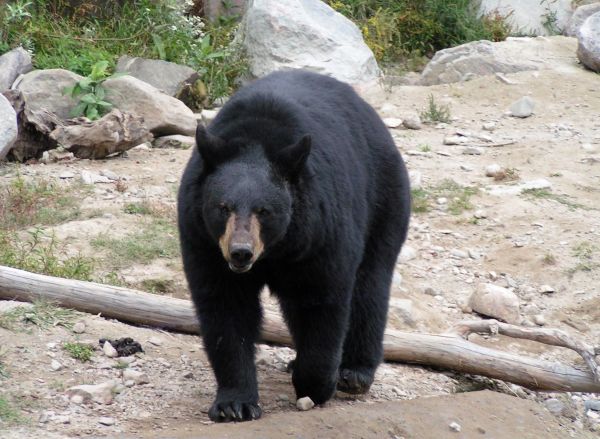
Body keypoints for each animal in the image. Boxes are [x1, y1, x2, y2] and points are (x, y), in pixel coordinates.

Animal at [177, 69, 412, 422]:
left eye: (264, 210)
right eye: (222, 207)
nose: (241, 252)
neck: (276, 249)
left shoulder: (320, 233)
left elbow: (322, 300)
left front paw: (317, 384)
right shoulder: (203, 240)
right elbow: (224, 308)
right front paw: (234, 404)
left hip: (384, 198)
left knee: (370, 285)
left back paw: (354, 371)